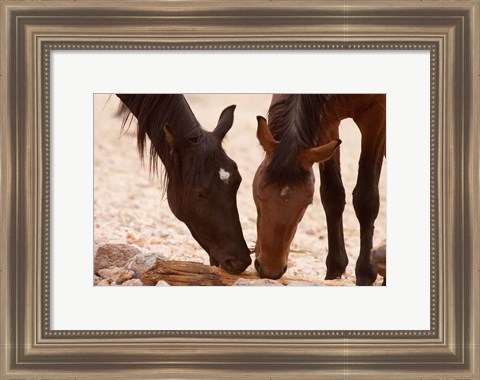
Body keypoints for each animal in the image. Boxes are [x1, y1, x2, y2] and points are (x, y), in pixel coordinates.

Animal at [255, 95, 386, 284]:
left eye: (307, 203)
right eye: (258, 194)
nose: (269, 269)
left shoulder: (376, 115)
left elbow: (366, 199)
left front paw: (365, 274)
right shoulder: (327, 120)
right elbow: (332, 195)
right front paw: (334, 271)